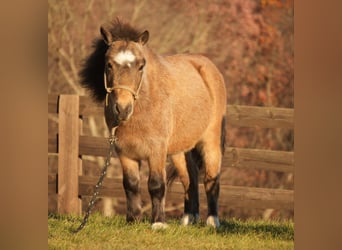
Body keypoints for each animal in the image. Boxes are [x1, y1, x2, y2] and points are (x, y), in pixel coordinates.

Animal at [80, 17, 227, 229]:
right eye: (108, 64)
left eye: (141, 65)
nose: (122, 108)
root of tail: (209, 68)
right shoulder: (124, 152)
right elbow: (131, 184)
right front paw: (133, 220)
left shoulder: (156, 150)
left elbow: (156, 185)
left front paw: (158, 223)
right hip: (179, 150)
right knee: (189, 178)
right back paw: (188, 218)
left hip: (210, 141)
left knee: (211, 178)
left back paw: (212, 221)